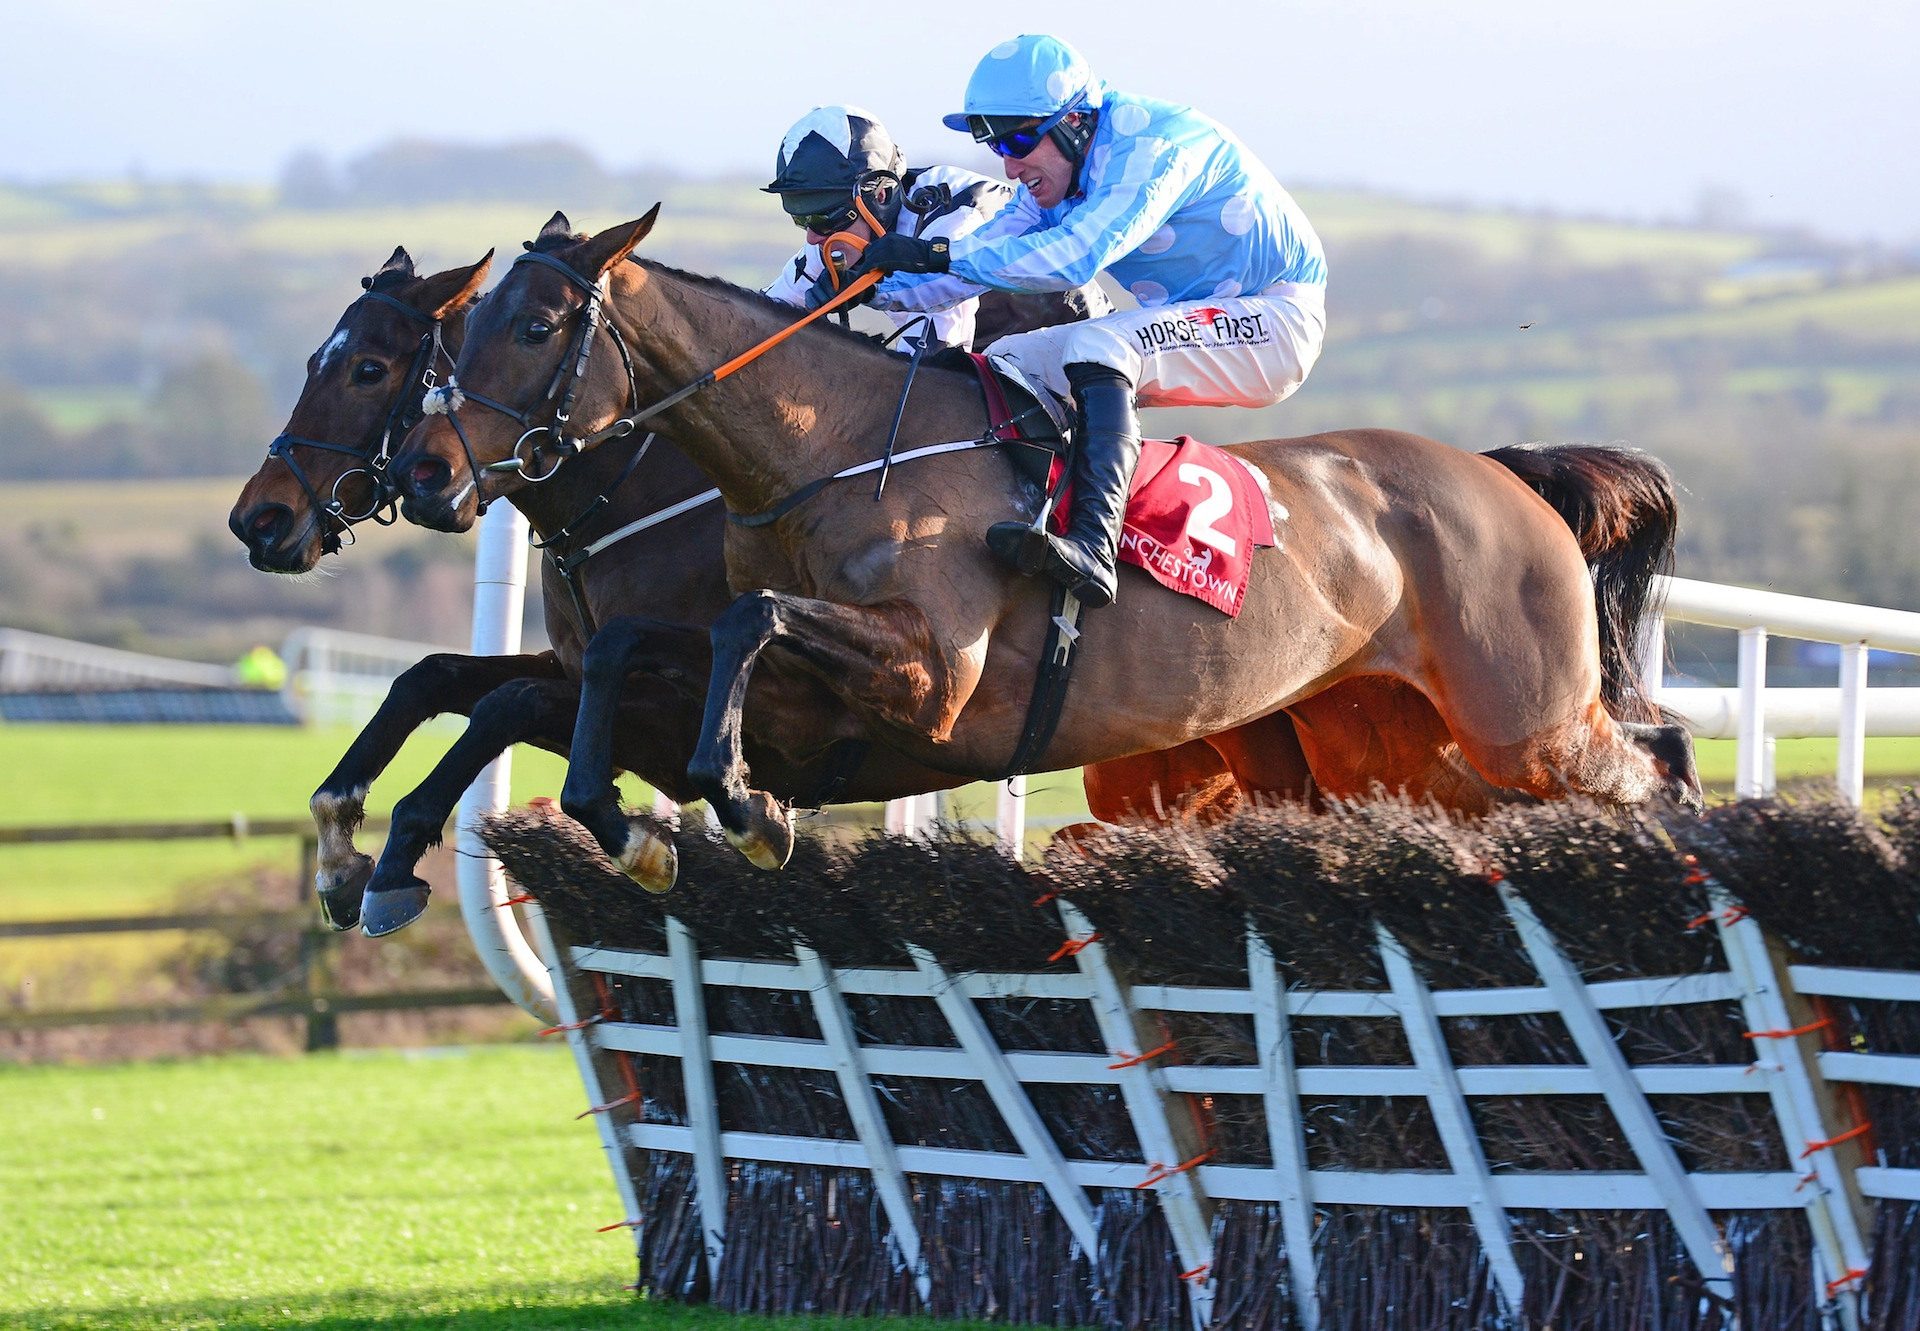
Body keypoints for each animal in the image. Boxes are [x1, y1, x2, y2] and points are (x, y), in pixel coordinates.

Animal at [393, 207, 1697, 891]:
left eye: (539, 323)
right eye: (457, 327)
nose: (423, 472)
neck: (838, 446)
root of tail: (1507, 472)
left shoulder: (931, 672)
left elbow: (736, 624)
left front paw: (735, 801)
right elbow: (631, 652)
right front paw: (635, 822)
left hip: (1525, 718)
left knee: (1662, 754)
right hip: (1417, 743)